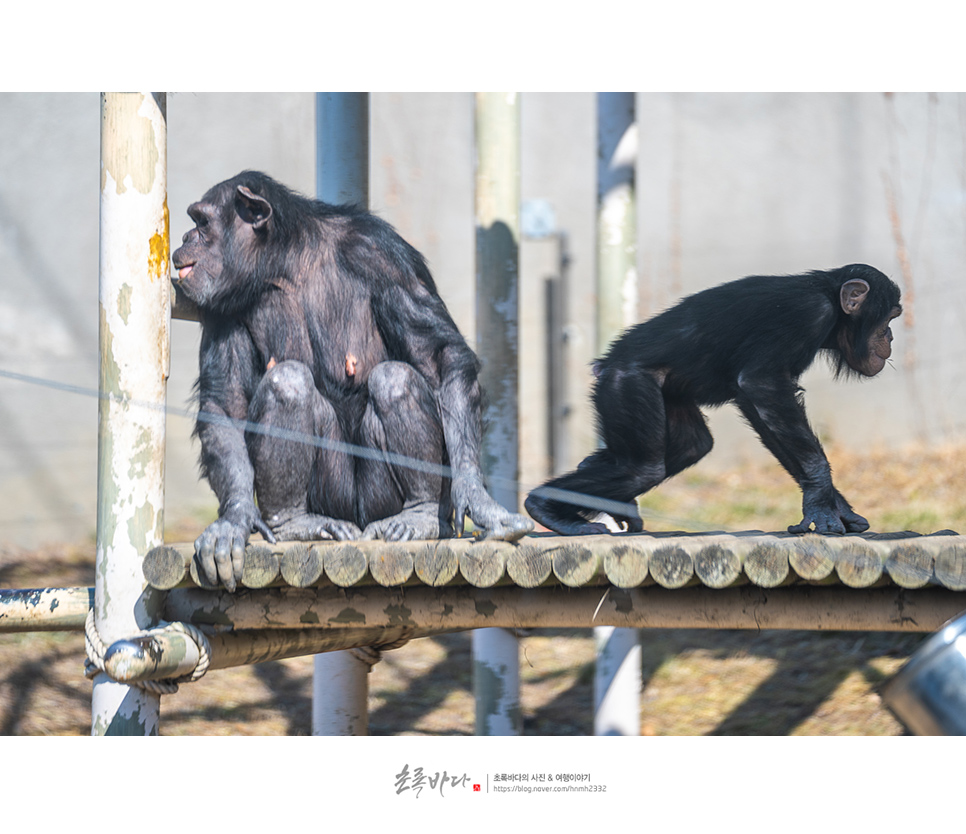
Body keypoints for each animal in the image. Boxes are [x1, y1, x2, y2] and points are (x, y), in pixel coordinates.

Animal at [170, 169, 532, 588]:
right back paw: (295, 522)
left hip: (378, 502)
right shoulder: (219, 304)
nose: (186, 237)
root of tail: (360, 523)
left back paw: (421, 515)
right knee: (288, 382)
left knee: (395, 380)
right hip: (335, 499)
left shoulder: (383, 257)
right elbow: (226, 402)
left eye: (202, 222)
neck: (286, 263)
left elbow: (439, 358)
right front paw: (235, 518)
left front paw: (477, 496)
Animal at [524, 264, 904, 536]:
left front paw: (835, 505)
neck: (831, 303)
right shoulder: (807, 314)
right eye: (889, 316)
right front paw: (820, 501)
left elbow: (763, 411)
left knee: (691, 445)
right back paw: (547, 508)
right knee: (642, 468)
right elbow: (762, 384)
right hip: (626, 383)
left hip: (668, 395)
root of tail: (605, 364)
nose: (890, 335)